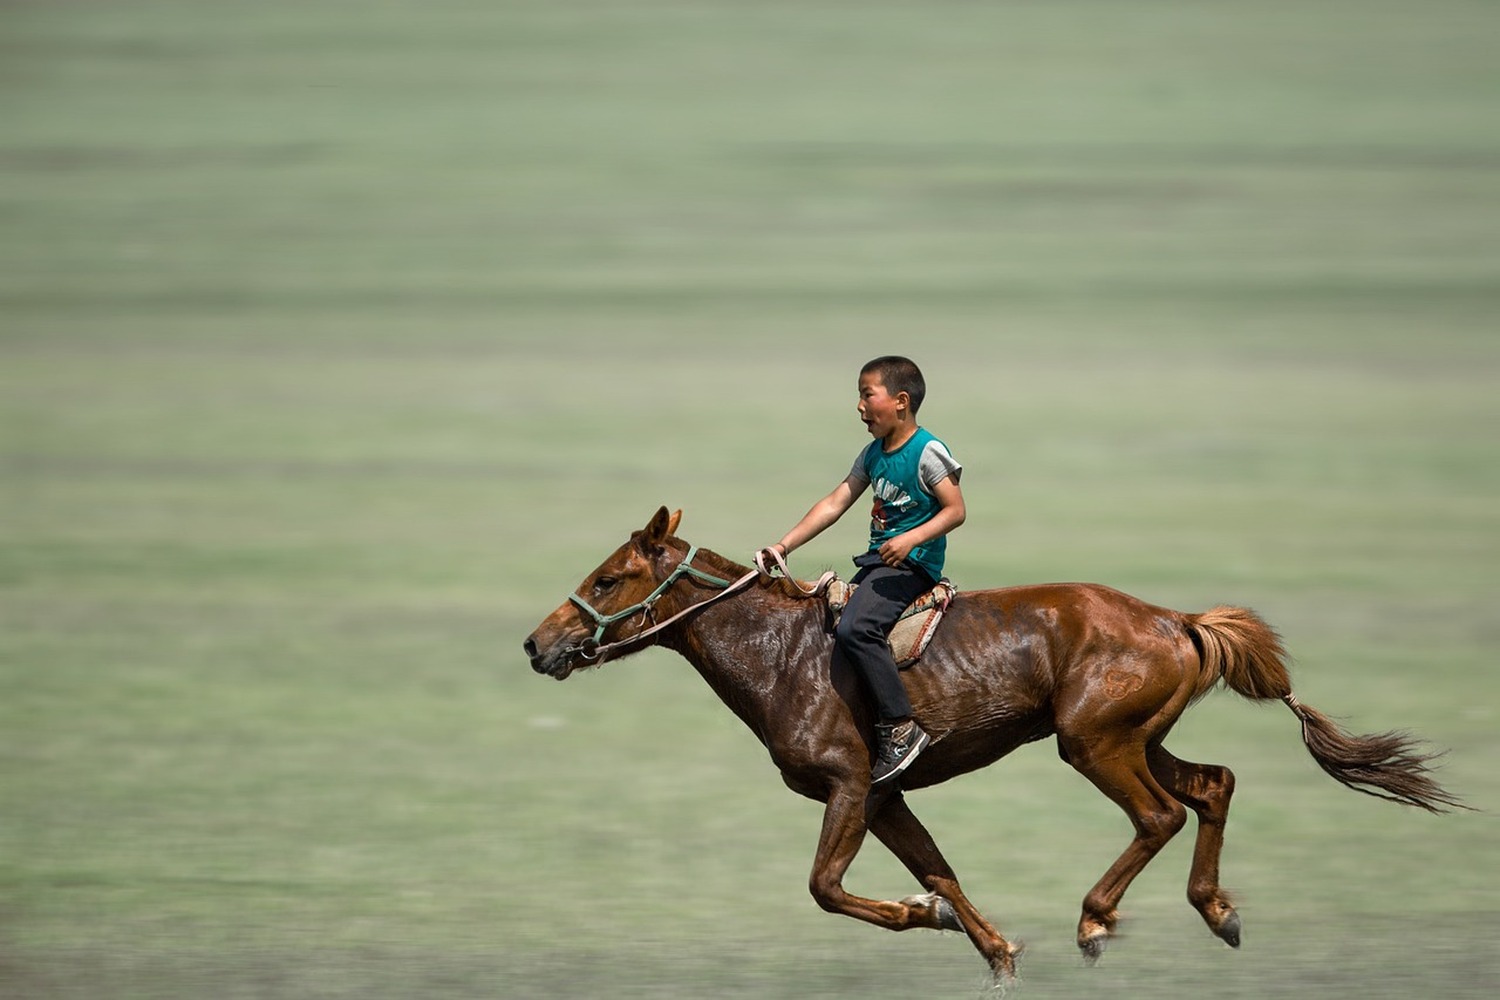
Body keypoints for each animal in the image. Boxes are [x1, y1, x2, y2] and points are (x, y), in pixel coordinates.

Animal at [522, 509, 1458, 977]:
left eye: (611, 577)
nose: (538, 644)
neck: (782, 654)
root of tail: (1178, 621)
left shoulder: (850, 786)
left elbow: (827, 887)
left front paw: (924, 917)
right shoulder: (887, 796)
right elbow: (940, 869)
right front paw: (995, 948)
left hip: (1093, 744)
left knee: (1160, 816)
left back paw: (1095, 920)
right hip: (1135, 737)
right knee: (1214, 785)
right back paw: (1218, 913)